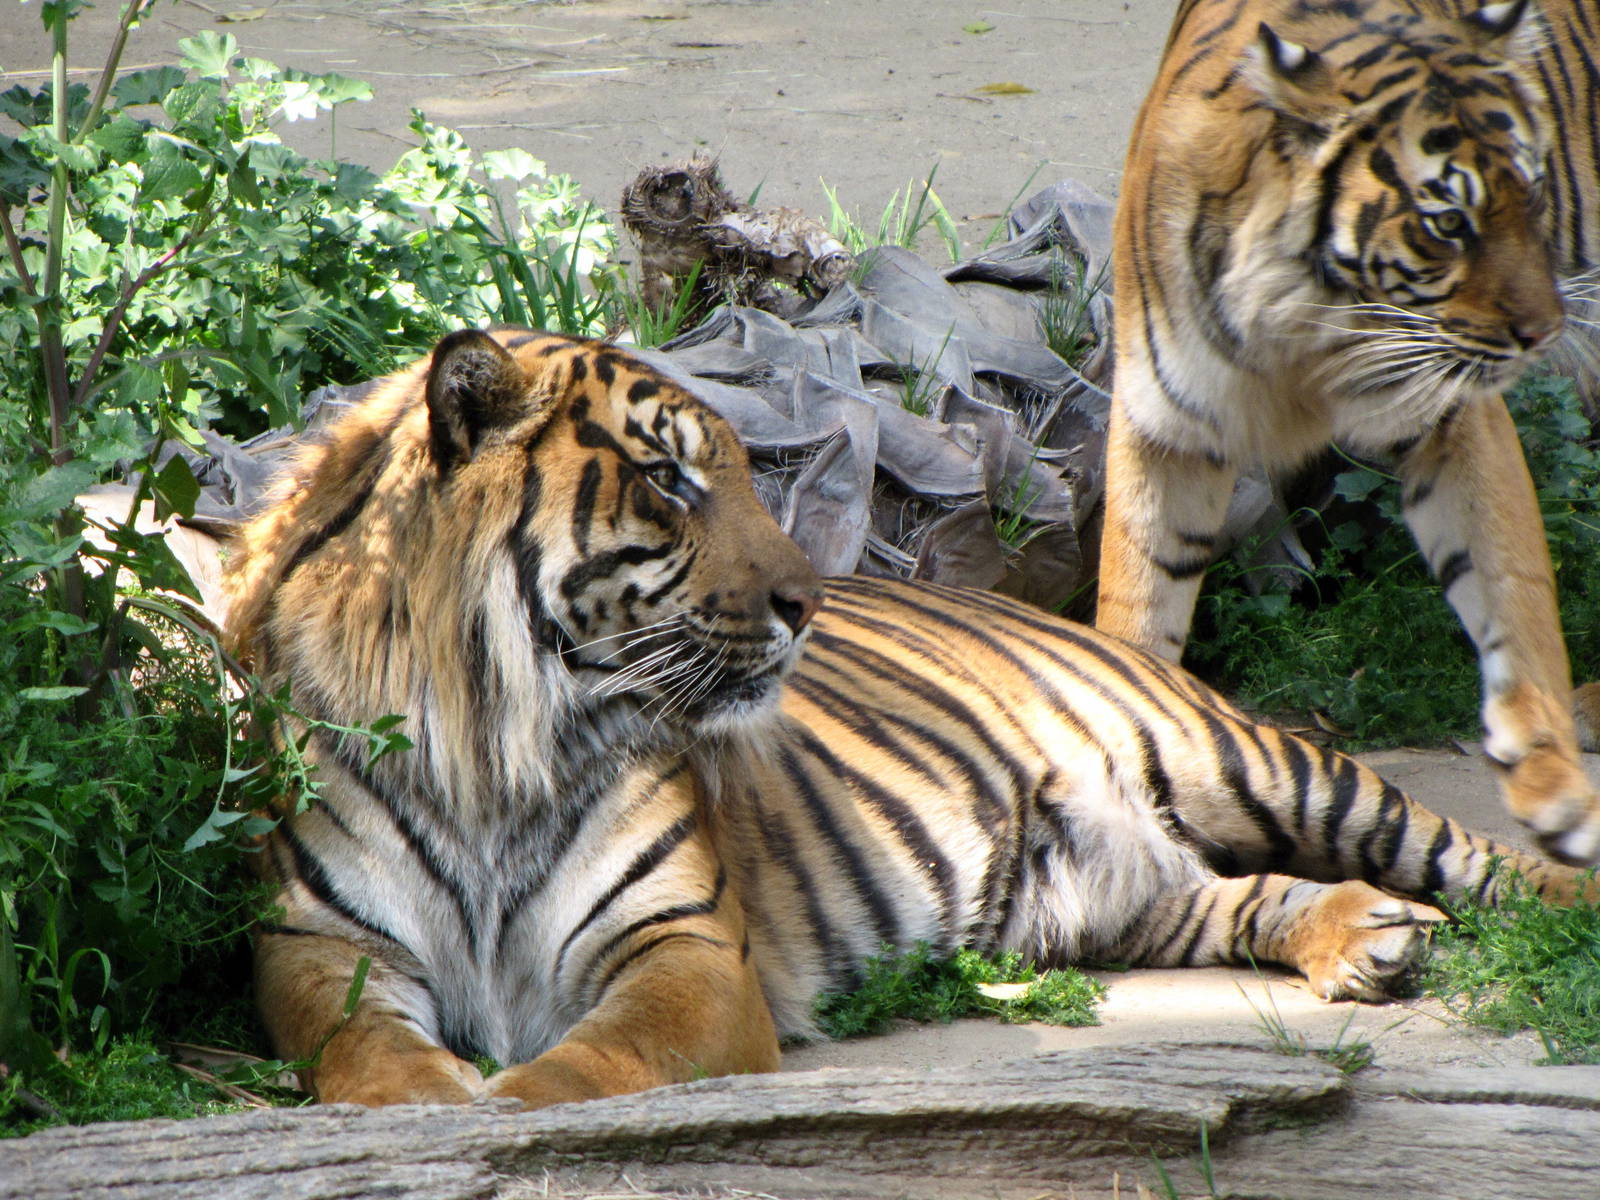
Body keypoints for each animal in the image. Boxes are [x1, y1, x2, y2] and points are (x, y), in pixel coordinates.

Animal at [224, 327, 1596, 1109]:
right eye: (669, 480)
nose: (805, 598)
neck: (497, 748)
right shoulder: (321, 949)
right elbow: (365, 1058)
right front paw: (428, 1103)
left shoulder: (683, 950)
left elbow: (585, 1065)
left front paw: (498, 1106)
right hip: (1114, 893)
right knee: (1233, 895)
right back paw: (1363, 940)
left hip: (1253, 760)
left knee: (1466, 851)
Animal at [1096, 0, 1600, 865]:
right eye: (1447, 223)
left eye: (1531, 197)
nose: (1544, 332)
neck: (1302, 329)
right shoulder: (1170, 430)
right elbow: (1139, 598)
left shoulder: (1450, 413)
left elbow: (1513, 585)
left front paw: (1555, 787)